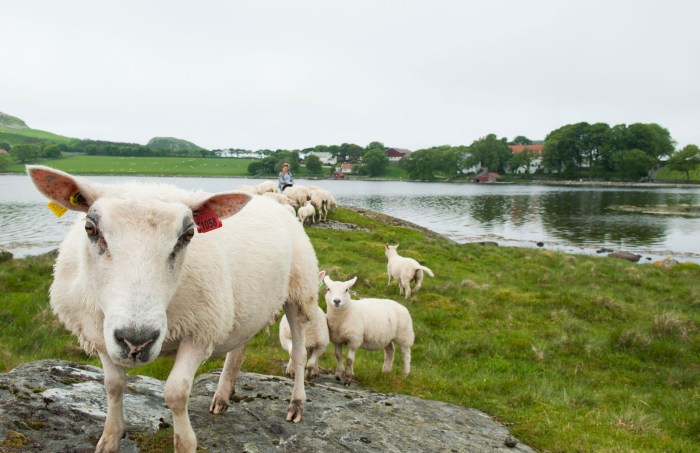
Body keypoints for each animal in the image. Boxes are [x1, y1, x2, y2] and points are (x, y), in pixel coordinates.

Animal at [28, 166, 320, 452]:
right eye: (90, 228)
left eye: (188, 235)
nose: (136, 342)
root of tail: (271, 201)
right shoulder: (98, 333)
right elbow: (113, 386)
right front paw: (110, 439)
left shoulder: (200, 330)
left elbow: (175, 393)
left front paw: (185, 442)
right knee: (239, 348)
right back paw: (222, 396)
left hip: (300, 290)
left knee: (299, 352)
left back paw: (296, 404)